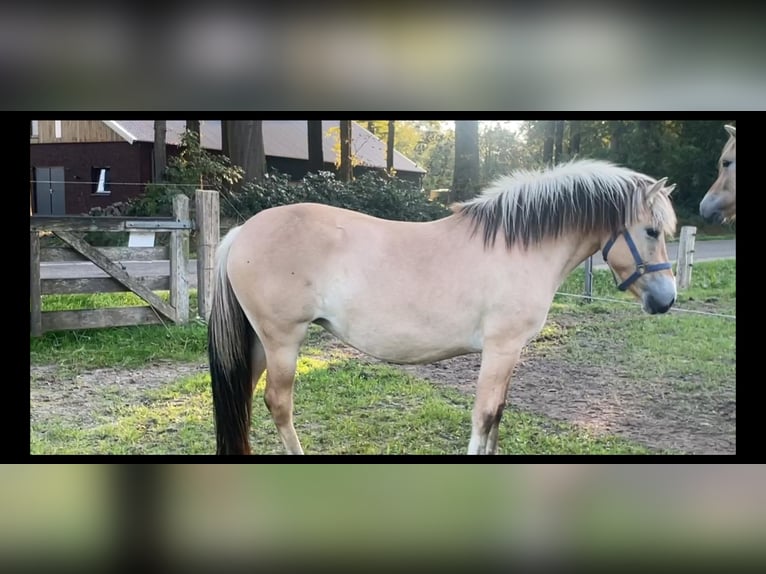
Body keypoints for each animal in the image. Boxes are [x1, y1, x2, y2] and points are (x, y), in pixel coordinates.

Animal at [208, 160, 680, 456]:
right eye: (652, 230)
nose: (667, 299)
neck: (519, 247)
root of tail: (242, 232)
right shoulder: (500, 349)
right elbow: (484, 417)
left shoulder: (511, 355)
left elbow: (497, 416)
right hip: (283, 341)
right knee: (277, 404)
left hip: (258, 344)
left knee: (243, 398)